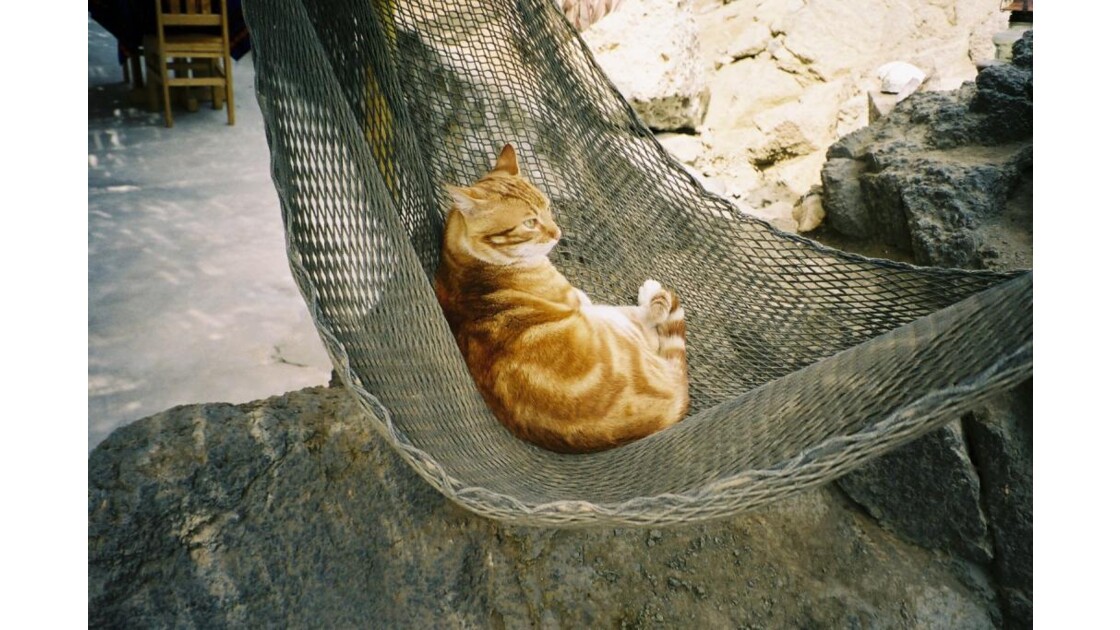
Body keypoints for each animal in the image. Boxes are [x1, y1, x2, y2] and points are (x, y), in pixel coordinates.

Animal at [432, 142, 685, 450]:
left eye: (548, 207)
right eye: (530, 222)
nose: (557, 233)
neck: (470, 262)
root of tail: (674, 404)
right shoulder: (579, 301)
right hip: (614, 323)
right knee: (652, 323)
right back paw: (652, 294)